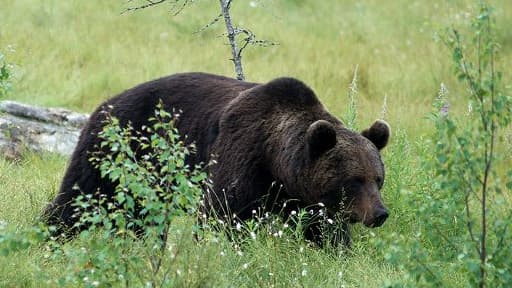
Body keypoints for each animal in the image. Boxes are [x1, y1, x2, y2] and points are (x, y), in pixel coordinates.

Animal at [44, 72, 390, 245]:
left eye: (378, 179)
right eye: (354, 180)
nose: (380, 213)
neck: (276, 162)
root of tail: (104, 103)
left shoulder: (305, 199)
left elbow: (325, 232)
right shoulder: (240, 156)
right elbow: (222, 216)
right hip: (119, 150)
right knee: (77, 199)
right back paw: (49, 239)